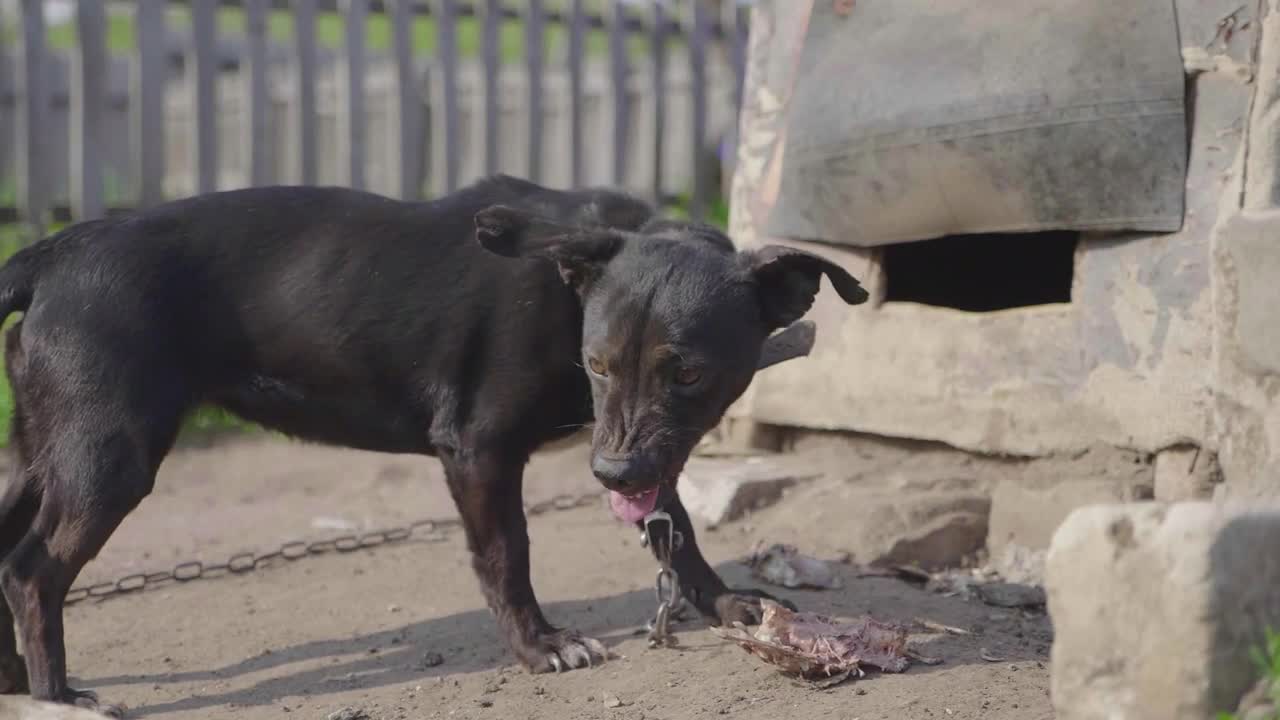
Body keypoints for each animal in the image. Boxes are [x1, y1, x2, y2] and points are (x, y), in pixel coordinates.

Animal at [0, 175, 870, 712]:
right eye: (596, 363)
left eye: (686, 371)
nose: (610, 472)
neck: (566, 289)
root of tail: (55, 252)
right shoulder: (479, 451)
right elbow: (508, 557)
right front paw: (540, 647)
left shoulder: (647, 453)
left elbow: (678, 531)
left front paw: (724, 603)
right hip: (107, 455)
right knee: (36, 569)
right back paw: (56, 695)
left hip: (46, 453)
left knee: (8, 558)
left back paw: (14, 676)